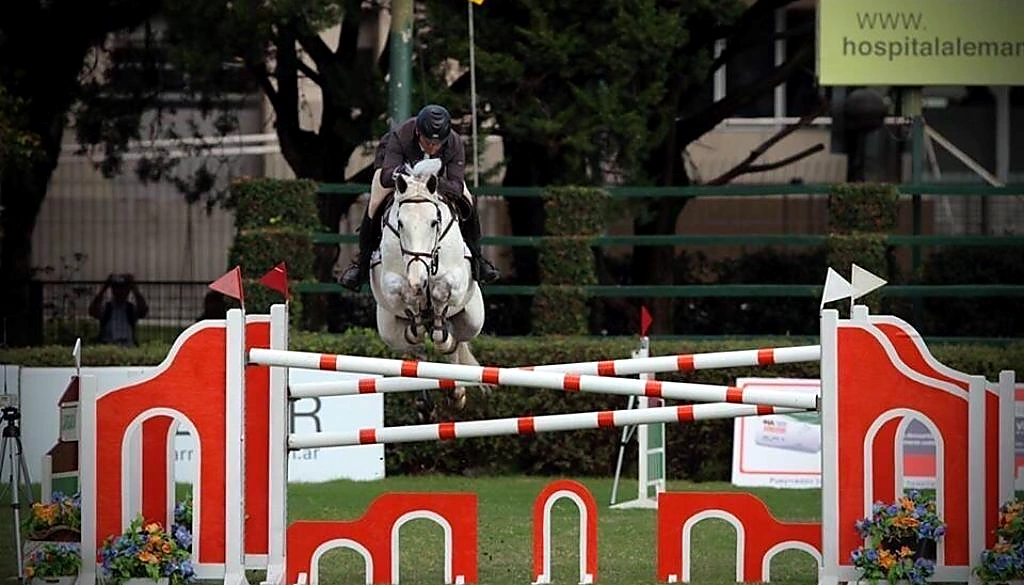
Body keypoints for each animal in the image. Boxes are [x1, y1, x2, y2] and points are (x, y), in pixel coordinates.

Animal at [368, 163, 487, 411]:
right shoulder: (389, 282)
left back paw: (456, 391)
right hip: (390, 331)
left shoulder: (457, 280)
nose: (418, 278)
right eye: (400, 224)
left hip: (473, 319)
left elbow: (442, 289)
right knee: (416, 348)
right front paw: (416, 297)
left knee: (454, 342)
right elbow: (403, 291)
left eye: (434, 222)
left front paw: (430, 296)